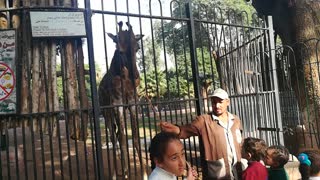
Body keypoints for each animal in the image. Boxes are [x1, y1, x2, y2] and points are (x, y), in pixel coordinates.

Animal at [97, 21, 142, 178]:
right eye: (120, 51)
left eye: (137, 48)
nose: (136, 77)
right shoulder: (118, 105)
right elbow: (123, 139)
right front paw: (127, 173)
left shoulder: (133, 104)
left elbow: (135, 137)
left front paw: (144, 172)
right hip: (106, 114)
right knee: (113, 138)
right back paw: (116, 173)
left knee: (116, 135)